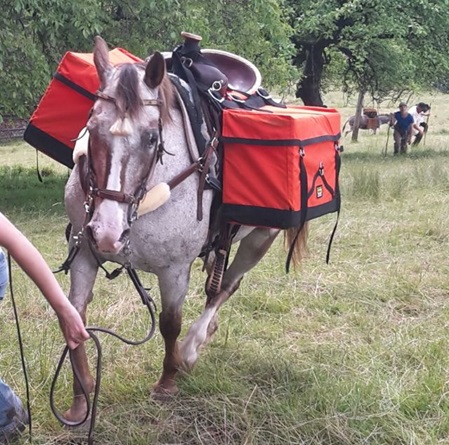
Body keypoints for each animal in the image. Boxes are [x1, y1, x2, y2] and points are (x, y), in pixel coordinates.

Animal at [63, 36, 307, 422]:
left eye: (152, 138)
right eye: (92, 125)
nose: (107, 232)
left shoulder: (174, 269)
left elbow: (169, 323)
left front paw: (167, 382)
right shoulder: (84, 254)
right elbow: (76, 317)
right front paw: (80, 399)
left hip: (259, 237)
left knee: (225, 288)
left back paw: (192, 348)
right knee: (217, 284)